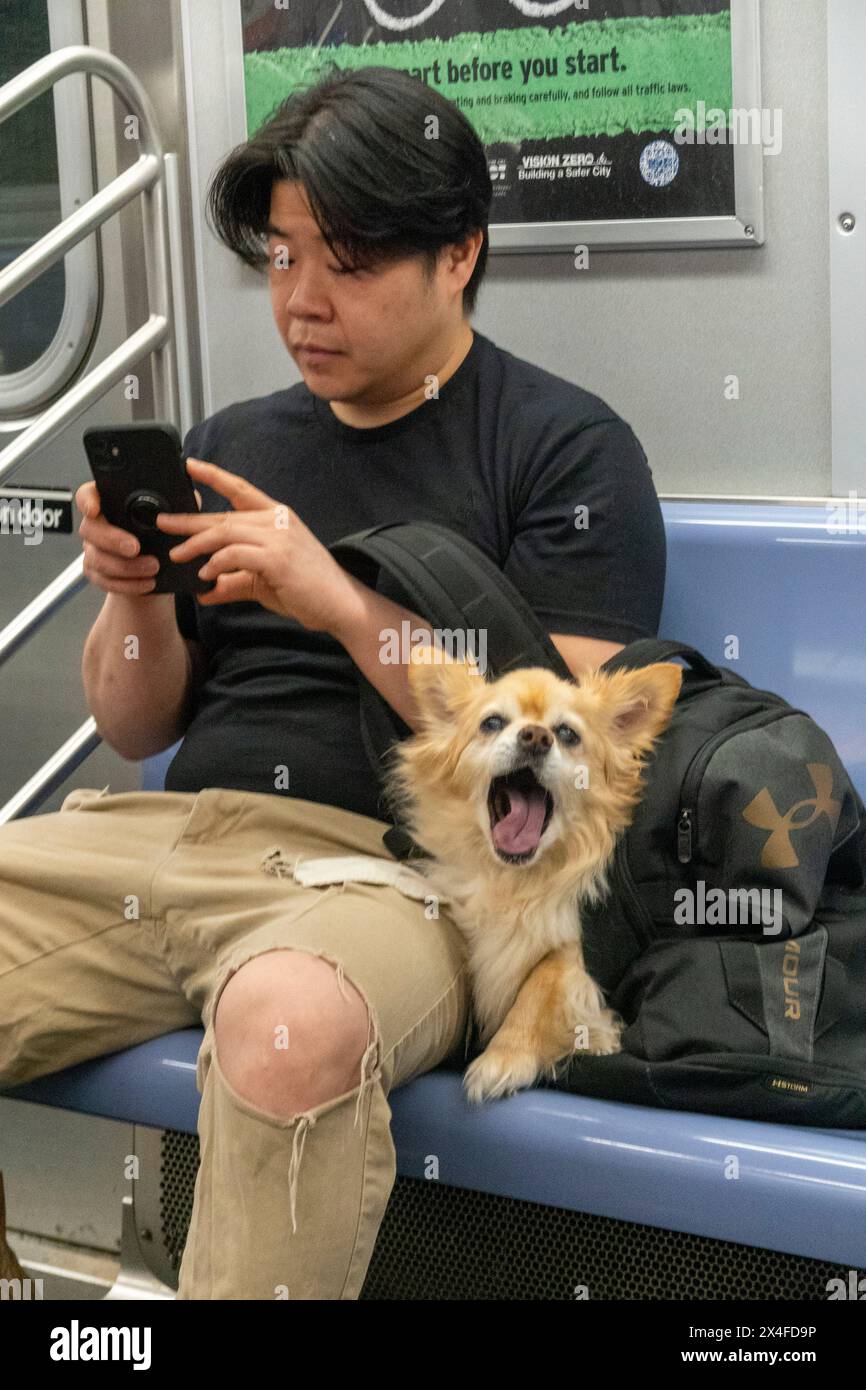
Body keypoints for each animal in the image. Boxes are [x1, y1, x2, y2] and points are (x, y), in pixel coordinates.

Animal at [391, 653, 683, 1106]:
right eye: (492, 723)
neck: (514, 880)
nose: (535, 736)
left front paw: (505, 1057)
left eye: (567, 734)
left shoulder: (575, 948)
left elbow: (541, 983)